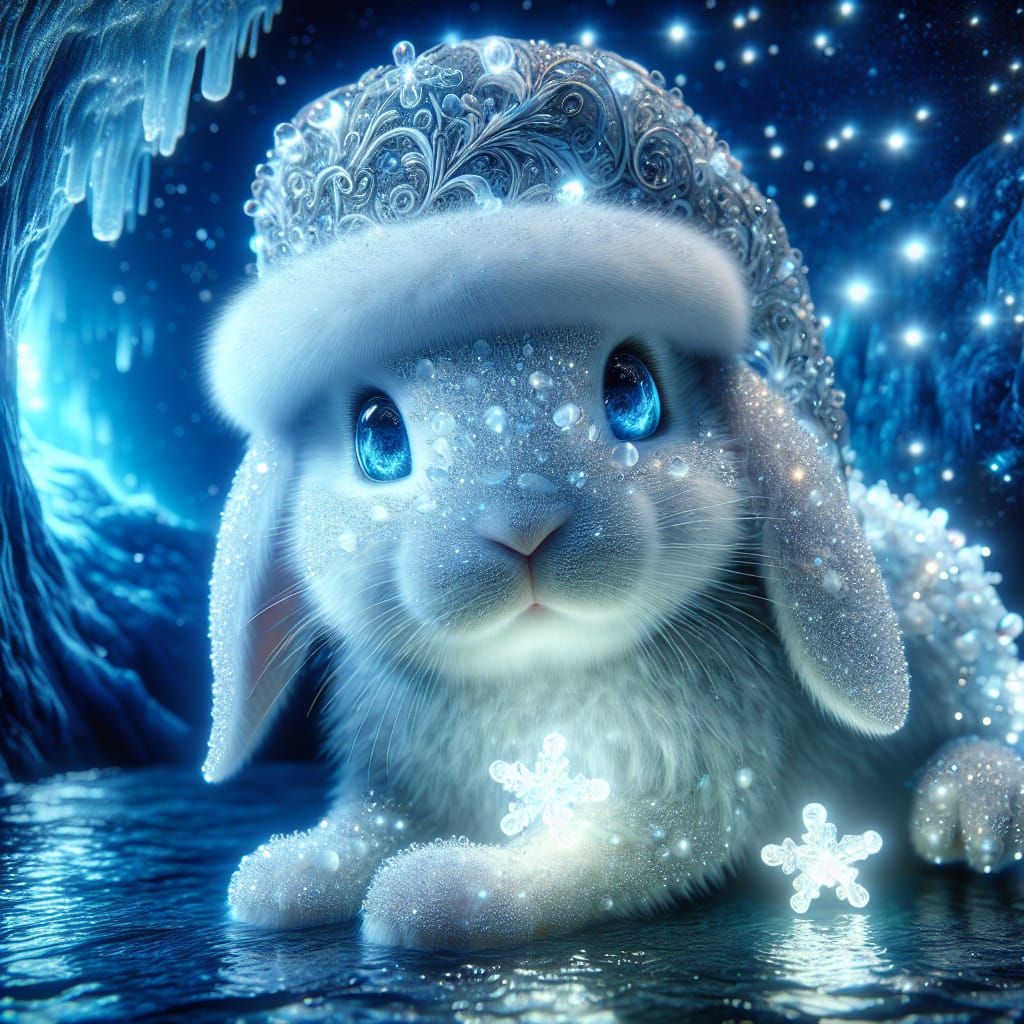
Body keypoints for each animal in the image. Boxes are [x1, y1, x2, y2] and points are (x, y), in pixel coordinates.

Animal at [203, 198, 1024, 951]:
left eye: (631, 391)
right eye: (378, 434)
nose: (522, 525)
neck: (535, 673)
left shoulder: (687, 793)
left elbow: (597, 853)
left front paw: (445, 888)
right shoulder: (392, 785)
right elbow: (360, 829)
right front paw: (282, 875)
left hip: (964, 657)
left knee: (994, 723)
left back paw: (967, 805)